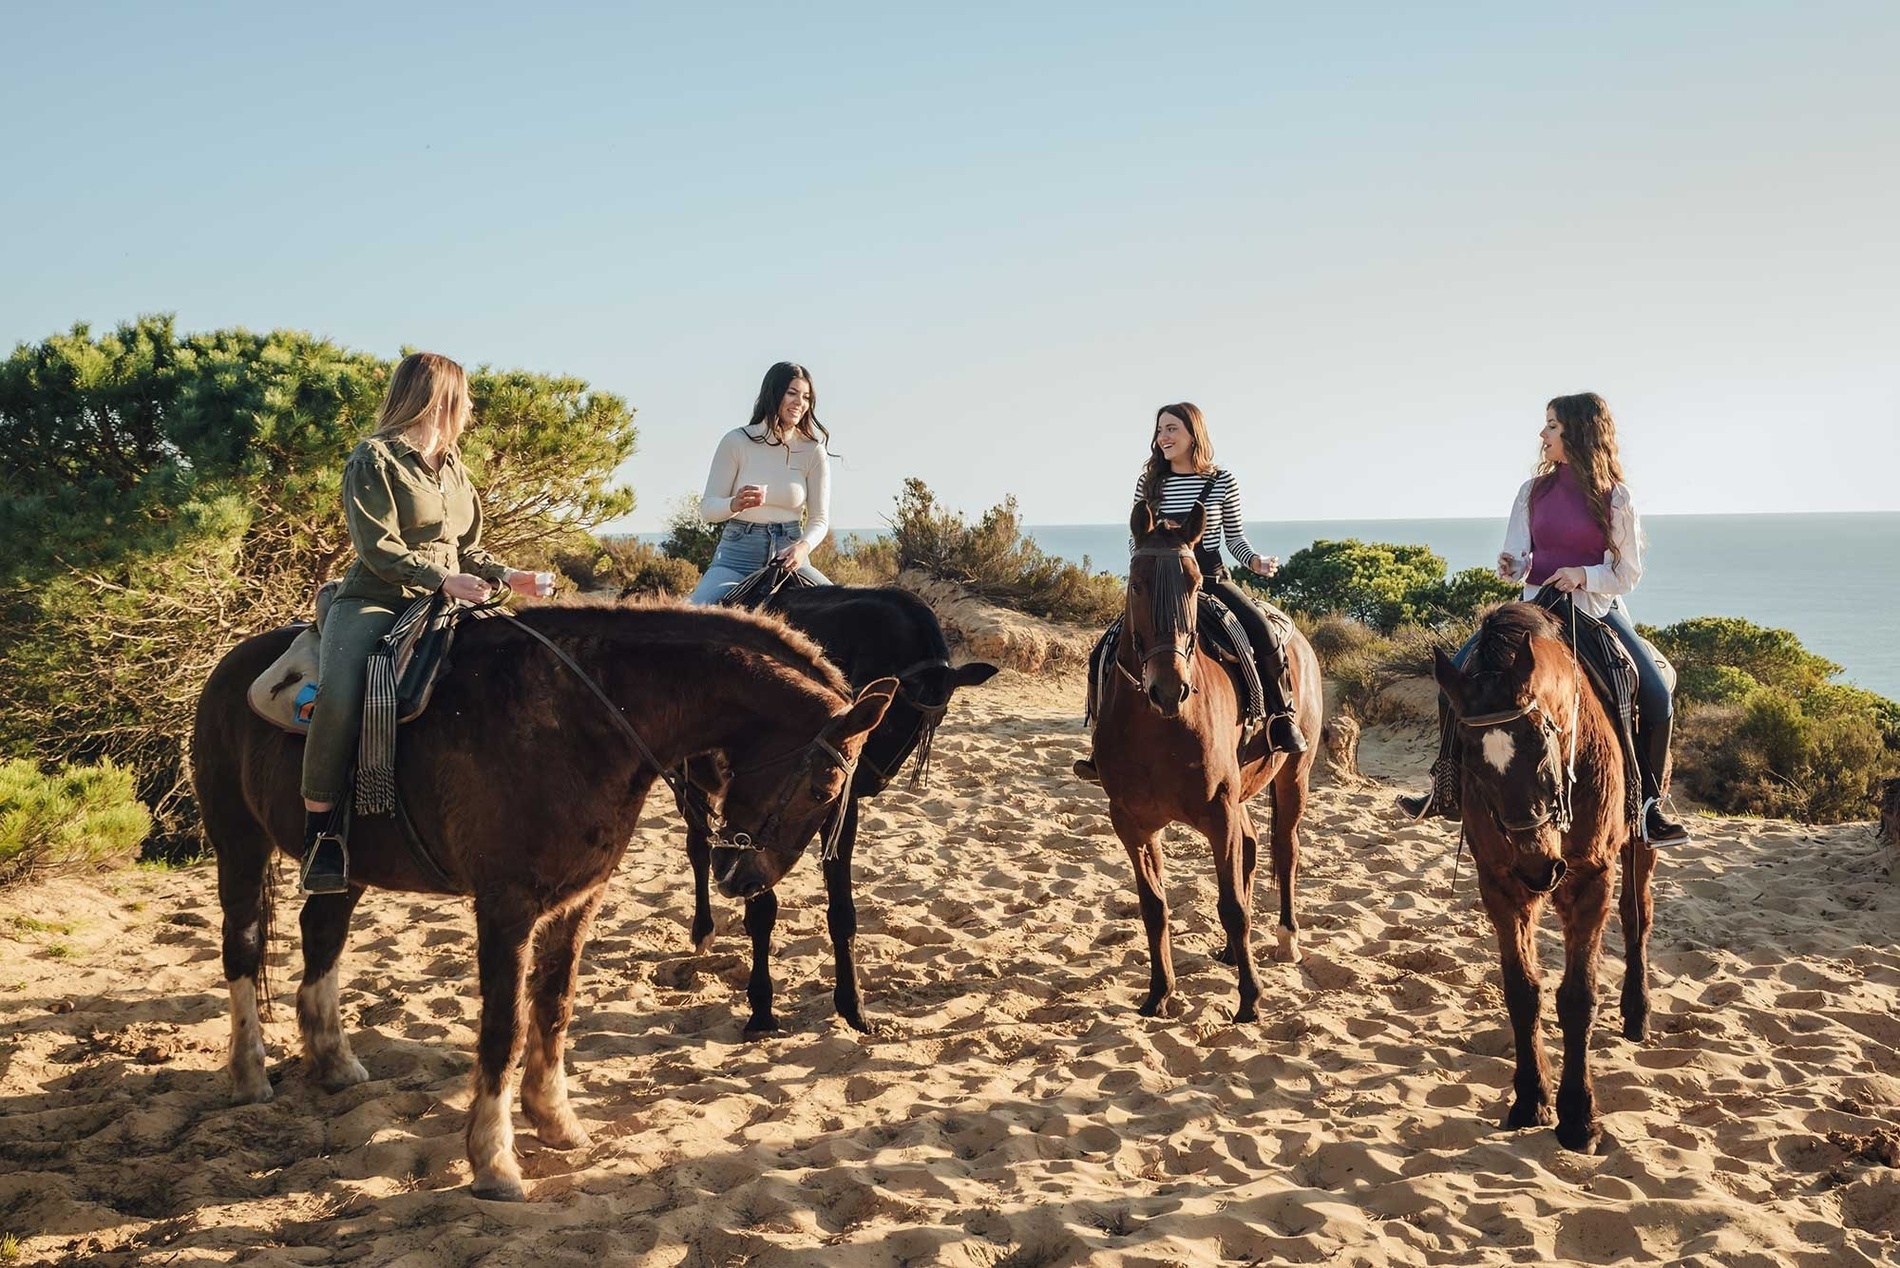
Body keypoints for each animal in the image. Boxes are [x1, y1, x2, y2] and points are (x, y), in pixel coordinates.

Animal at [191, 604, 896, 1201]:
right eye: (825, 786)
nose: (742, 878)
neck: (581, 718)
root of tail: (231, 666)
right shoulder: (507, 907)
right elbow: (504, 1027)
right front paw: (494, 1159)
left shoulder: (579, 900)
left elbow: (554, 1009)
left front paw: (555, 1121)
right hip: (238, 842)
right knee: (241, 948)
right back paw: (249, 1074)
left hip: (345, 868)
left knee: (323, 937)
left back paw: (335, 1062)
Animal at [679, 584, 998, 1032]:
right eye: (891, 717)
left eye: (937, 718)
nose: (867, 780)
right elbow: (761, 905)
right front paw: (761, 1009)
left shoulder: (835, 814)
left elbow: (842, 913)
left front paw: (852, 1005)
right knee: (697, 847)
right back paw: (703, 929)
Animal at [1094, 502, 1323, 1022]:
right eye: (1136, 582)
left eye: (1195, 583)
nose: (1168, 688)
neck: (1158, 727)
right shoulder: (1131, 823)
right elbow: (1153, 906)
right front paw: (1159, 992)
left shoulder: (1218, 813)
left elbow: (1232, 907)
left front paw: (1250, 1000)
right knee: (1254, 846)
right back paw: (1230, 953)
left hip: (1292, 777)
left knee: (1286, 849)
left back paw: (1286, 940)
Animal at [1432, 601, 1657, 1153]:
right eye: (1469, 759)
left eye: (1543, 740)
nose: (1539, 866)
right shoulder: (1500, 884)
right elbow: (1522, 992)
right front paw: (1531, 1098)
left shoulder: (1591, 880)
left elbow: (1577, 998)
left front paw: (1578, 1117)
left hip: (1640, 843)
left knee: (1637, 917)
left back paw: (1637, 1012)